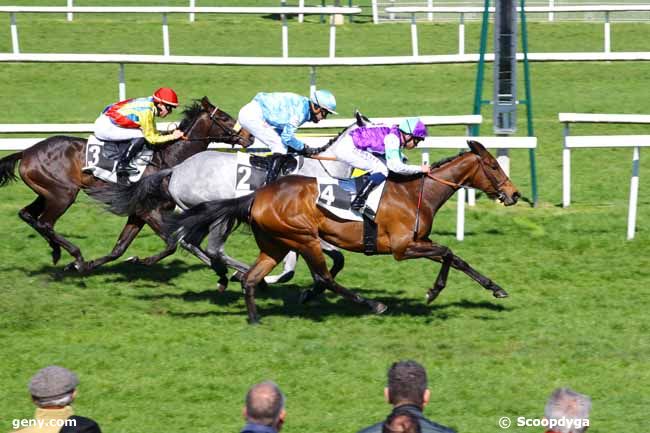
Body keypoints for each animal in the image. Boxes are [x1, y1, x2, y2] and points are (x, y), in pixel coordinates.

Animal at [0, 98, 253, 274]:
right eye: (225, 118)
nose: (249, 137)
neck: (169, 159)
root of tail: (27, 151)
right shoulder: (149, 210)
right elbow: (172, 243)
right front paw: (141, 260)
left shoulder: (138, 212)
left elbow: (119, 248)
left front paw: (90, 265)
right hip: (63, 194)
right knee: (45, 223)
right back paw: (74, 254)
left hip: (47, 193)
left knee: (27, 215)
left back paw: (57, 252)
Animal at [170, 140, 520, 322]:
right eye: (493, 166)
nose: (514, 194)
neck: (414, 193)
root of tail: (257, 195)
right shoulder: (402, 248)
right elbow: (448, 252)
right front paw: (433, 292)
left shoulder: (419, 240)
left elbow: (458, 258)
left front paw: (496, 288)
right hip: (304, 238)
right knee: (324, 276)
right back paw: (371, 305)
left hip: (276, 244)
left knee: (252, 278)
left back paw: (255, 317)